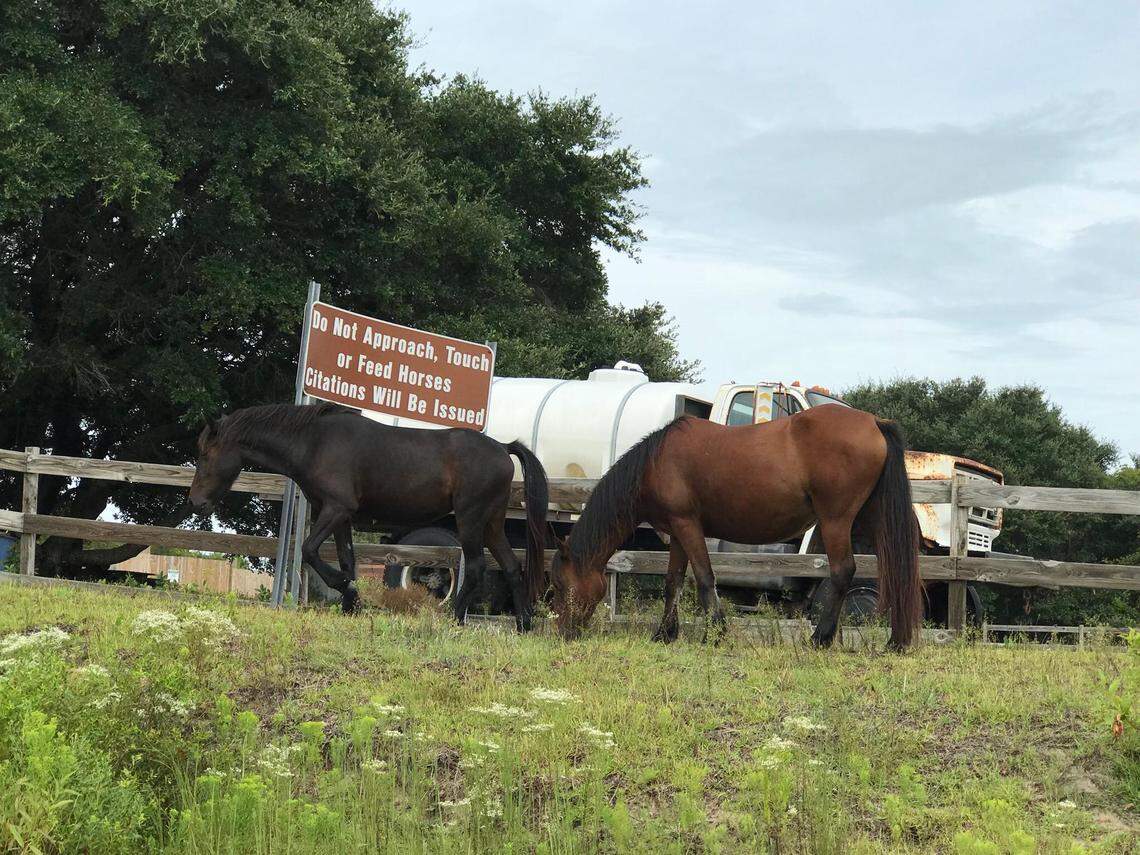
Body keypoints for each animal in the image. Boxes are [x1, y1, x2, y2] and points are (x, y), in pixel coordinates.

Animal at [187, 402, 549, 630]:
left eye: (205, 453)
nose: (195, 503)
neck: (315, 442)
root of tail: (502, 447)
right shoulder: (341, 516)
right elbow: (347, 559)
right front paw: (352, 605)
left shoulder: (335, 509)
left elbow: (310, 550)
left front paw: (344, 588)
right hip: (491, 524)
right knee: (512, 567)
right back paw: (523, 625)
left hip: (470, 520)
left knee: (474, 568)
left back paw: (456, 618)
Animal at [550, 404, 922, 649]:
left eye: (559, 585)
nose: (563, 633)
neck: (655, 463)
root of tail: (874, 422)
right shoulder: (676, 533)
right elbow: (673, 582)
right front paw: (664, 634)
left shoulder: (688, 526)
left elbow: (704, 578)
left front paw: (714, 634)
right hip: (873, 519)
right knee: (892, 570)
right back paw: (894, 640)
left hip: (836, 521)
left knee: (843, 571)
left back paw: (820, 638)